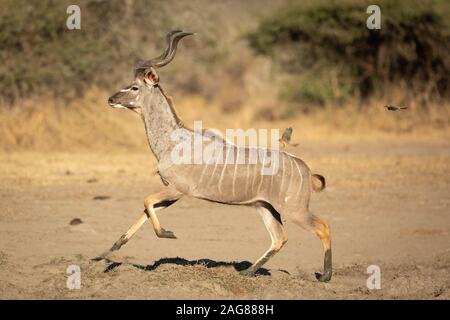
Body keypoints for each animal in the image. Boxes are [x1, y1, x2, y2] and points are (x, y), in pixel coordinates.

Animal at [103, 30, 332, 280]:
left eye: (135, 87)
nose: (111, 99)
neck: (173, 140)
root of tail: (305, 169)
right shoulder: (173, 194)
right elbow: (147, 209)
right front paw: (114, 246)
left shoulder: (177, 190)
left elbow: (147, 201)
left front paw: (168, 233)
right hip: (265, 207)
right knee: (280, 238)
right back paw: (247, 272)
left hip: (293, 210)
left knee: (322, 228)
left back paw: (325, 276)